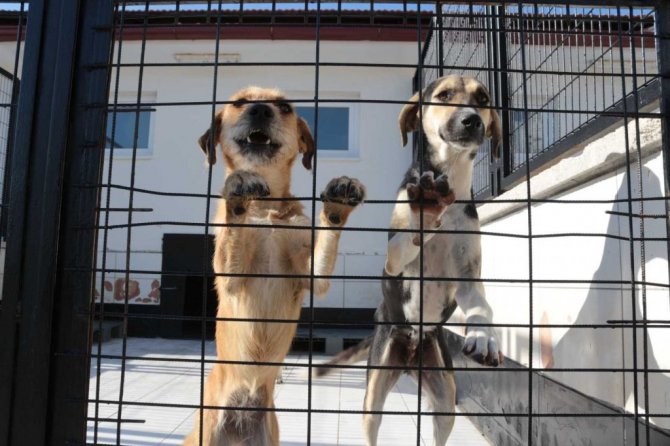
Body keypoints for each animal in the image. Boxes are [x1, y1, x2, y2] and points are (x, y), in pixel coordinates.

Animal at [184, 86, 366, 446]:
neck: (265, 209)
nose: (260, 110)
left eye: (284, 107)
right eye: (239, 103)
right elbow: (233, 229)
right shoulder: (231, 278)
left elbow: (326, 238)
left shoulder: (312, 273)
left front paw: (337, 205)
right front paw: (238, 188)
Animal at [314, 75, 503, 446]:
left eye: (483, 99)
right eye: (444, 95)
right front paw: (425, 212)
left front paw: (484, 335)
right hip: (374, 393)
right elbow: (407, 238)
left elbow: (481, 305)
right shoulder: (393, 261)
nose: (471, 120)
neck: (448, 179)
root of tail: (410, 358)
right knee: (372, 420)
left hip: (444, 398)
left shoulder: (467, 279)